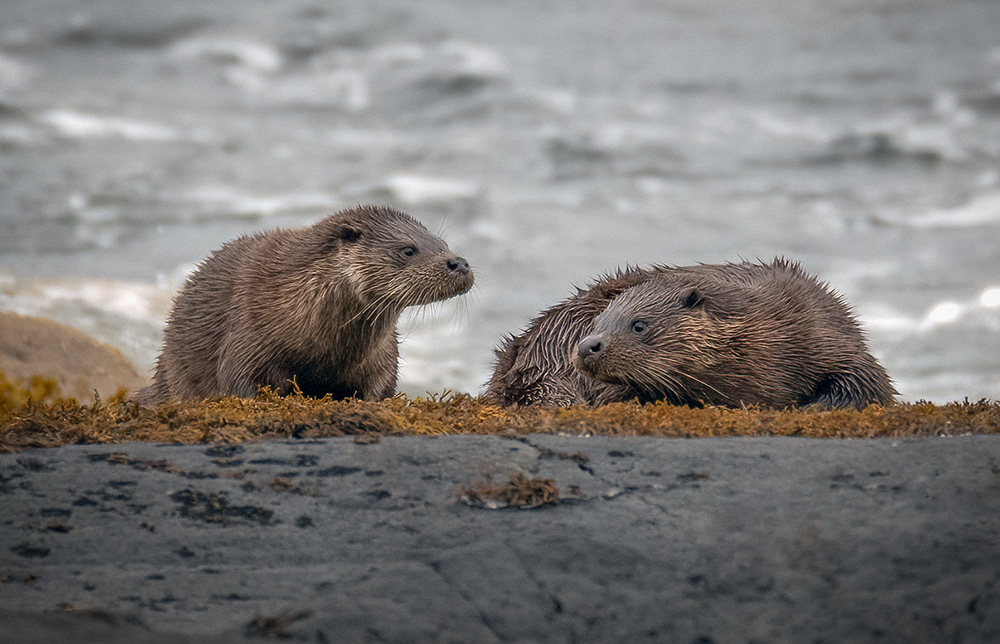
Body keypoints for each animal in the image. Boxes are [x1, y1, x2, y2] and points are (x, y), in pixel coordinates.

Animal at [135, 205, 473, 405]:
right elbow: (239, 384)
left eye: (443, 245)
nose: (459, 263)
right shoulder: (248, 335)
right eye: (408, 250)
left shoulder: (382, 360)